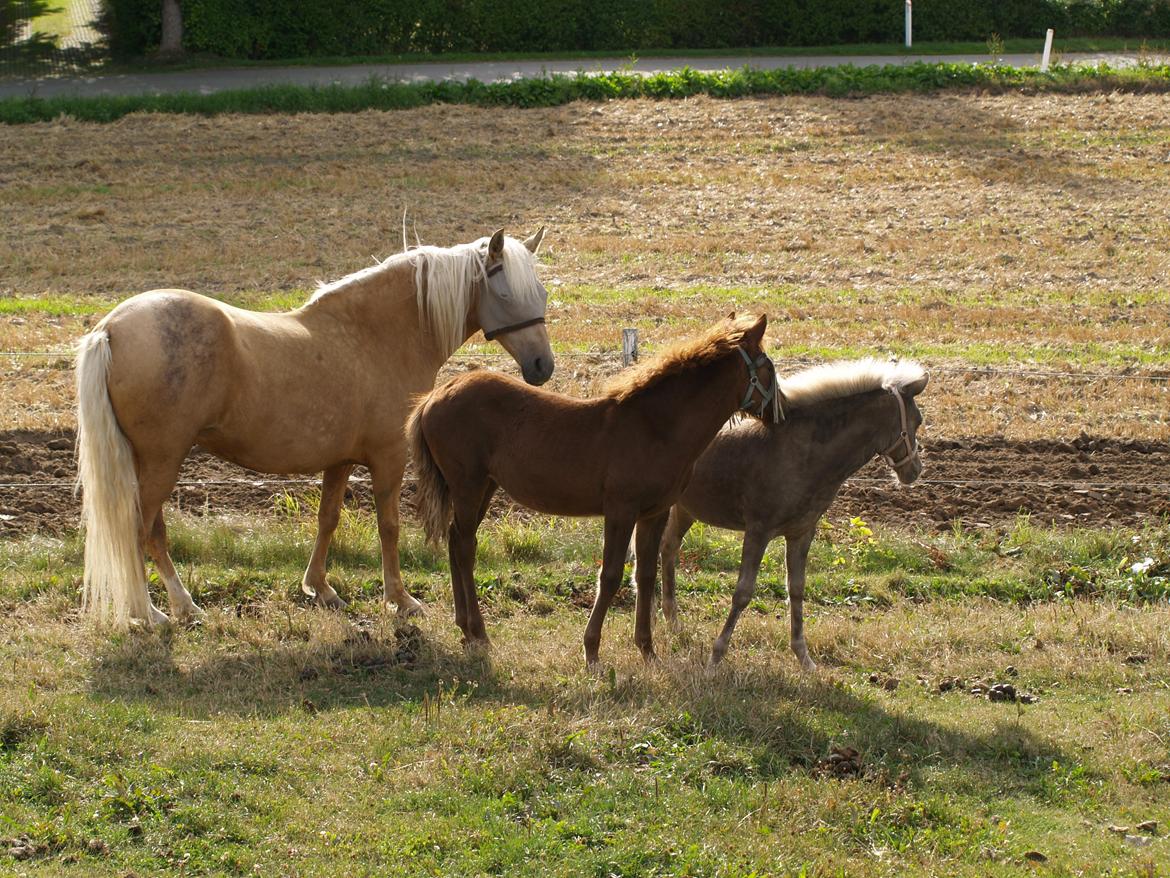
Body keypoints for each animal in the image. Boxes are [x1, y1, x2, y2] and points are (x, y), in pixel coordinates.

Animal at [76, 227, 552, 627]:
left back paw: (183, 606)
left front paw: (320, 589)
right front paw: (400, 599)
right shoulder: (388, 457)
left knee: (152, 532)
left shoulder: (340, 459)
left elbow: (328, 518)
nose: (542, 366)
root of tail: (110, 329)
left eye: (542, 292)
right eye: (505, 291)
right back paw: (150, 613)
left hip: (154, 461)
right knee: (137, 530)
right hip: (163, 459)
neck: (375, 337)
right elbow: (389, 525)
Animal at [407, 316, 781, 664]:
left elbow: (645, 575)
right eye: (769, 367)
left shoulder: (654, 513)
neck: (655, 427)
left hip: (483, 486)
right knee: (465, 546)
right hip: (467, 484)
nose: (779, 414)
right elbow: (611, 575)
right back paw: (479, 632)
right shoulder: (620, 510)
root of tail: (434, 395)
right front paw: (592, 651)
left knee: (456, 539)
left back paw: (464, 628)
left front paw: (647, 649)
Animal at [655, 355, 926, 664]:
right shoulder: (758, 531)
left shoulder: (801, 533)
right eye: (917, 420)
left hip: (684, 510)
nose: (915, 470)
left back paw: (671, 621)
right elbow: (743, 592)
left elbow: (796, 589)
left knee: (668, 549)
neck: (802, 452)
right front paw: (717, 654)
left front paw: (803, 656)